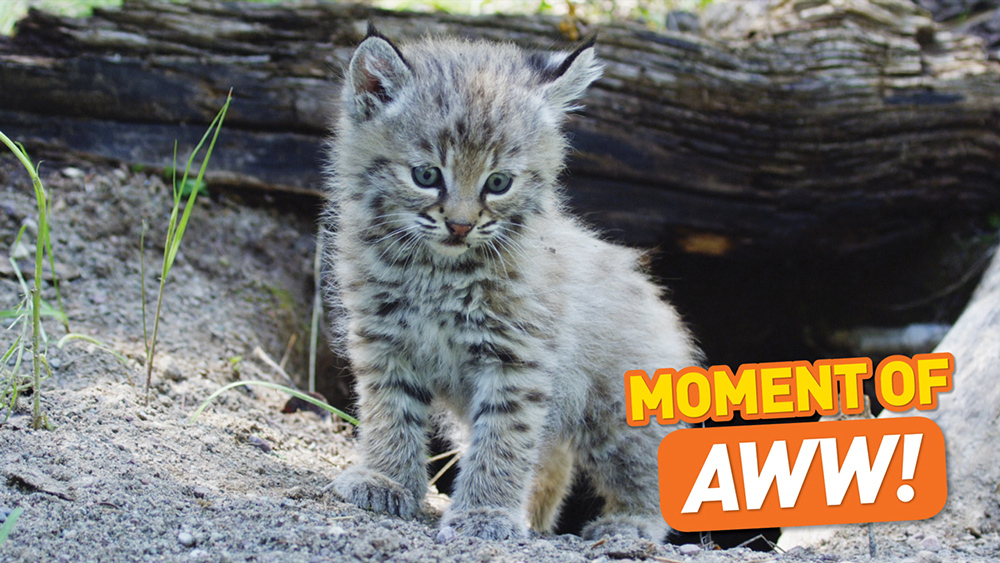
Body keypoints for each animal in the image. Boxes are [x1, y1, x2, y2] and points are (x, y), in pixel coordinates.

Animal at [324, 26, 700, 540]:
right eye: (425, 175)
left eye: (498, 182)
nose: (460, 225)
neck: (438, 270)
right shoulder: (384, 339)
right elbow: (391, 412)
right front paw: (387, 480)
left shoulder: (518, 357)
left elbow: (503, 439)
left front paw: (485, 513)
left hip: (619, 406)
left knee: (643, 462)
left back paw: (630, 524)